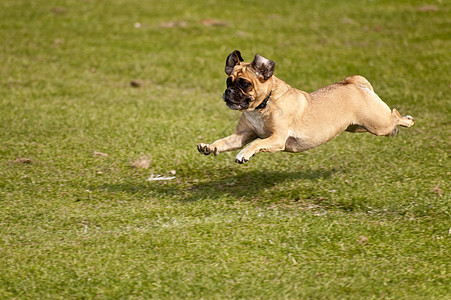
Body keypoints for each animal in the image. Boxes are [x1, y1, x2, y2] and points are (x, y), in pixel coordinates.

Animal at [198, 51, 416, 164]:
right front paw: (209, 147)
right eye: (228, 81)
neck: (263, 105)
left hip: (377, 124)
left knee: (394, 116)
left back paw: (407, 120)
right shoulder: (241, 135)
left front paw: (243, 154)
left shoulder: (276, 139)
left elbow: (256, 143)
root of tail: (353, 83)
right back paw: (396, 131)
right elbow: (225, 142)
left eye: (244, 84)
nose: (228, 92)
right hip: (357, 126)